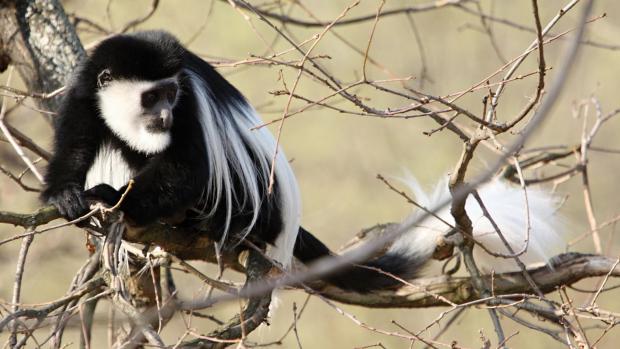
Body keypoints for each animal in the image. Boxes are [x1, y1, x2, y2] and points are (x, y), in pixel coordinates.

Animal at [38, 31, 560, 290]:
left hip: (257, 205)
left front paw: (115, 201)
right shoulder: (84, 94)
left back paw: (210, 227)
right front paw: (67, 195)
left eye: (170, 94)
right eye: (152, 97)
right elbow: (75, 144)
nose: (164, 114)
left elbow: (187, 170)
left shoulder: (190, 109)